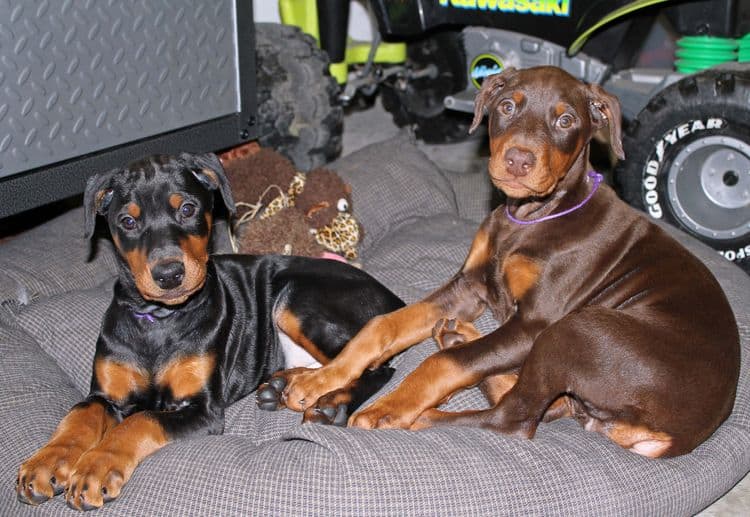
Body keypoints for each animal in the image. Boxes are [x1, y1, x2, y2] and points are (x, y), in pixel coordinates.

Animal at [16, 150, 406, 508]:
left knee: (373, 364)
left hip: (296, 299)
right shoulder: (105, 394)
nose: (169, 274)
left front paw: (95, 466)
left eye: (187, 209)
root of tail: (393, 296)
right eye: (127, 221)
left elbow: (140, 421)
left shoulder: (202, 409)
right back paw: (283, 385)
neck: (160, 320)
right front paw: (45, 464)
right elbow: (79, 415)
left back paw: (332, 404)